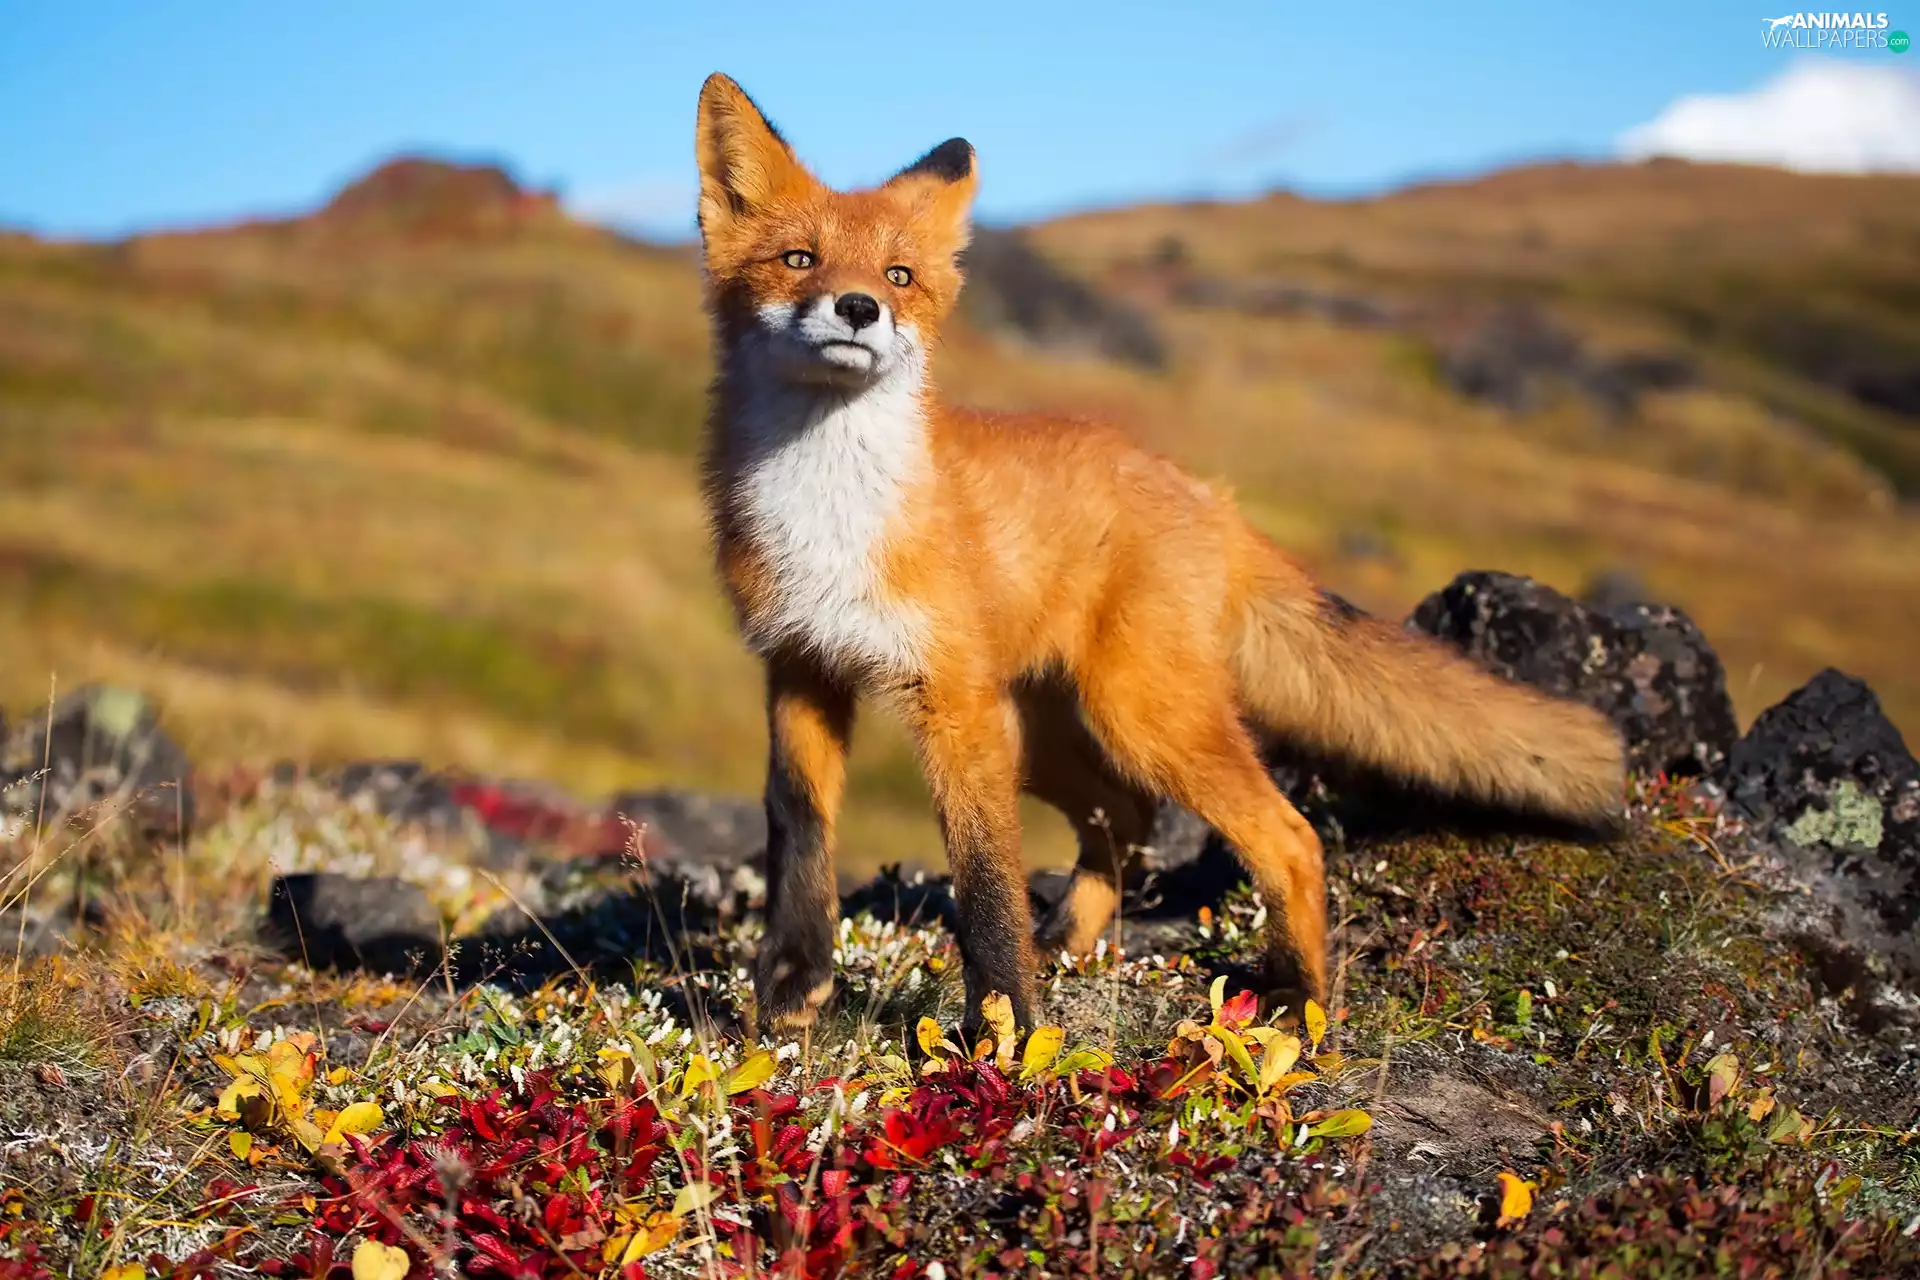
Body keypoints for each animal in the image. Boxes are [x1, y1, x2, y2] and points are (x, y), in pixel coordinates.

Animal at [692, 73, 1628, 1040]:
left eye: (898, 277)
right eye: (799, 259)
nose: (858, 308)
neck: (831, 519)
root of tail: (1212, 497)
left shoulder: (951, 703)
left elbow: (984, 883)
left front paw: (1007, 1034)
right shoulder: (802, 667)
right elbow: (799, 830)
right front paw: (792, 986)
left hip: (1132, 717)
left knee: (1289, 837)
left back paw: (1298, 1004)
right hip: (1052, 734)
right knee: (1129, 819)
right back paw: (1071, 944)